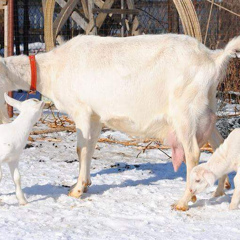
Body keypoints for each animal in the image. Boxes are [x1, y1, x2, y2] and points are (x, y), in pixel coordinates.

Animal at [0, 33, 240, 210]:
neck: (52, 69)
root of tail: (213, 58)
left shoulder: (82, 111)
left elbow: (80, 149)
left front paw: (76, 190)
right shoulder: (96, 116)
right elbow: (90, 147)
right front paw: (85, 184)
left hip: (186, 115)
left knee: (193, 154)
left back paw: (183, 202)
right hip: (206, 112)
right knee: (219, 144)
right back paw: (220, 189)